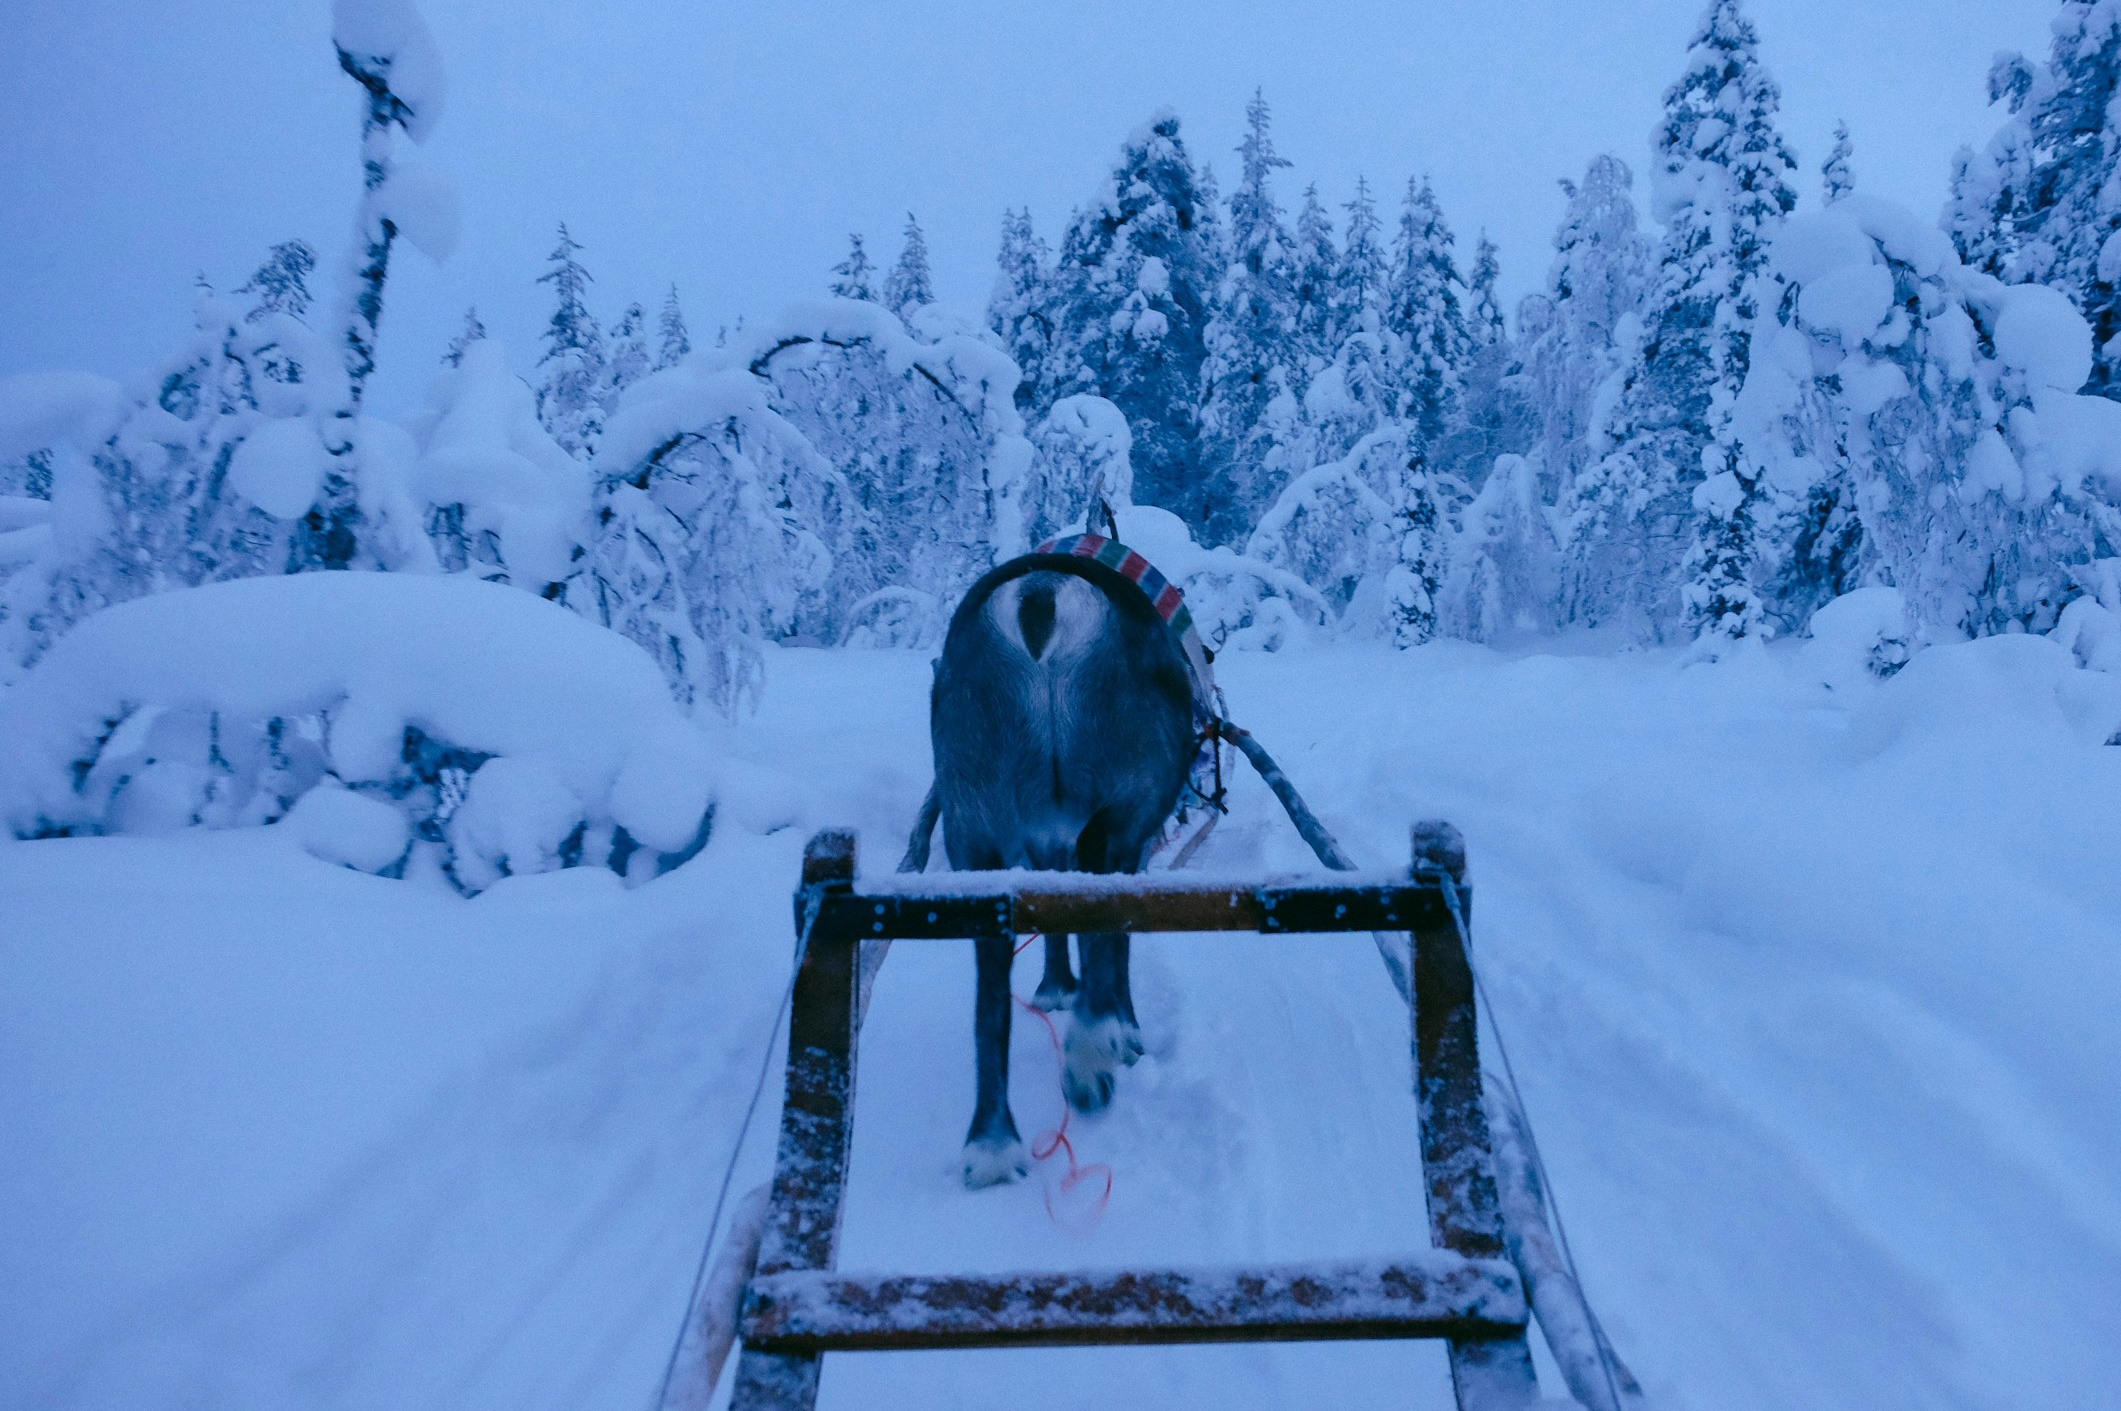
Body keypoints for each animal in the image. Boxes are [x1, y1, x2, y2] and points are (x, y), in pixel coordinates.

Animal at [930, 537, 1206, 1188]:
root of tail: (1043, 596)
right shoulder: (1130, 839)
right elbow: (1115, 940)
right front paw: (1125, 1030)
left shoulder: (1042, 838)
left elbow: (1058, 926)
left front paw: (1055, 988)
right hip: (1118, 798)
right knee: (1100, 916)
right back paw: (1089, 1057)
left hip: (971, 817)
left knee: (990, 996)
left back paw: (992, 1143)